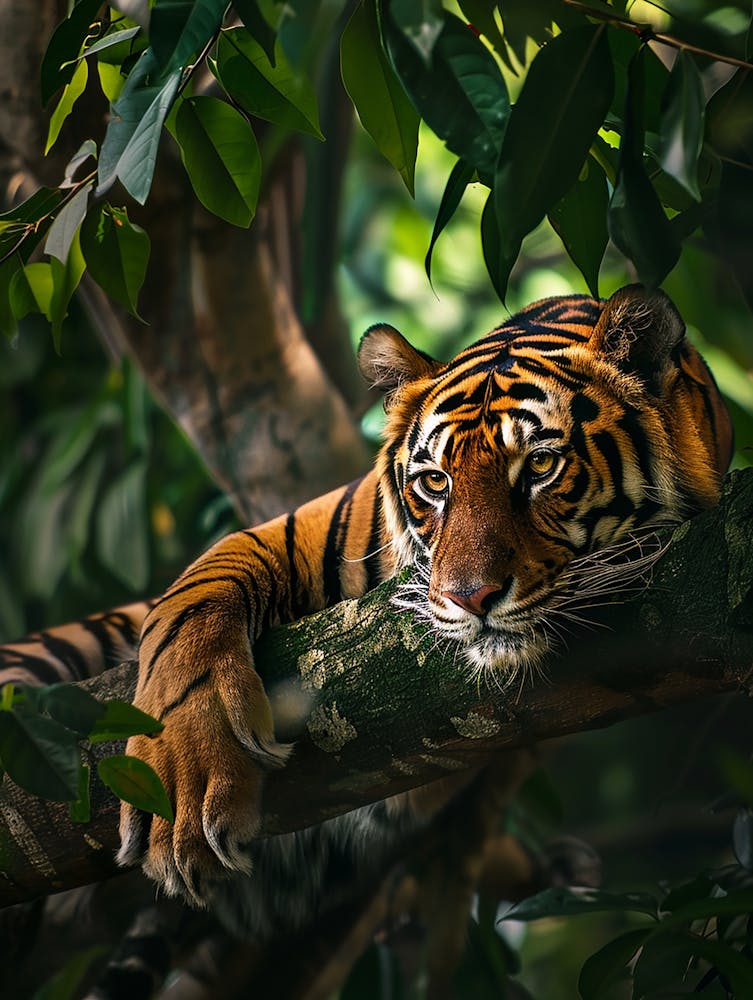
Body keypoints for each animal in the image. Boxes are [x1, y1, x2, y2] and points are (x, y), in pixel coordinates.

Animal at [0, 284, 732, 939]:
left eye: (541, 467)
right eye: (434, 482)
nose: (469, 597)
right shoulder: (294, 527)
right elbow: (194, 598)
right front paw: (183, 776)